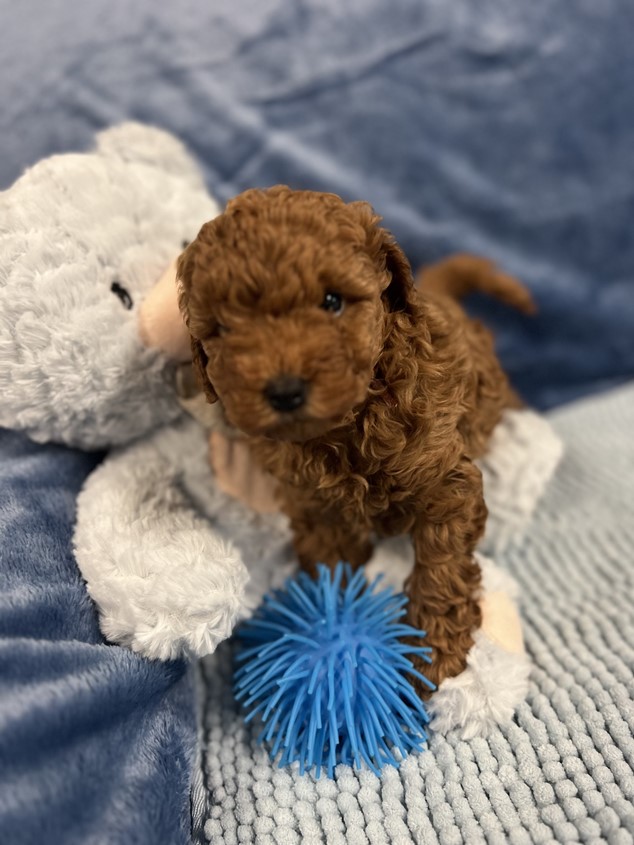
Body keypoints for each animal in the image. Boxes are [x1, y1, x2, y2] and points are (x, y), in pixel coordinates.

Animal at [178, 186, 532, 692]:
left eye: (332, 301)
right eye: (223, 328)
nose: (284, 391)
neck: (348, 425)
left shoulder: (447, 482)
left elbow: (441, 568)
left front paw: (434, 649)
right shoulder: (313, 506)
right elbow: (334, 569)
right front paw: (334, 634)